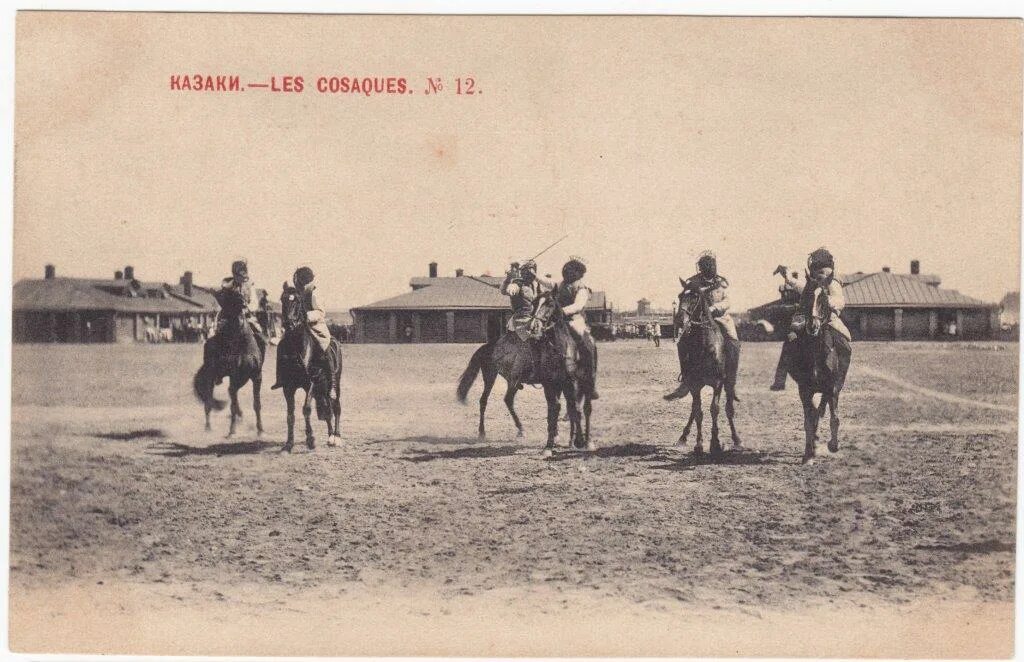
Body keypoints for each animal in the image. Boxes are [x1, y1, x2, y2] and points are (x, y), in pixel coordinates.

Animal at [191, 286, 264, 438]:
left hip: (241, 380)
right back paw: (208, 427)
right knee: (209, 402)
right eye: (222, 296)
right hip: (211, 377)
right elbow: (232, 405)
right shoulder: (234, 377)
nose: (220, 323)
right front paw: (231, 431)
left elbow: (256, 404)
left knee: (230, 396)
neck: (244, 346)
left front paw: (260, 429)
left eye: (235, 296)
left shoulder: (256, 377)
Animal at [272, 282, 344, 452]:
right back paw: (330, 436)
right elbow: (290, 415)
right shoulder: (288, 387)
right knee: (327, 408)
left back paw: (336, 437)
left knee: (336, 406)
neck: (297, 347)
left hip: (333, 383)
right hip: (321, 388)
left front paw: (311, 440)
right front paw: (288, 444)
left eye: (297, 301)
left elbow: (306, 409)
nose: (288, 324)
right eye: (283, 299)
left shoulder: (310, 383)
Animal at [458, 293, 598, 459]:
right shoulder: (552, 384)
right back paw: (482, 433)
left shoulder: (567, 383)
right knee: (484, 400)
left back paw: (522, 429)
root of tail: (486, 346)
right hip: (490, 376)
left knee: (508, 400)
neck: (562, 349)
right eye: (537, 303)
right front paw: (558, 442)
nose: (534, 325)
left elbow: (570, 408)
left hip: (513, 382)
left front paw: (573, 440)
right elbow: (559, 408)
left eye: (550, 304)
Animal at [659, 284, 741, 461]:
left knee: (729, 408)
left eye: (695, 297)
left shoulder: (717, 383)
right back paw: (683, 437)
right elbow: (698, 411)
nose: (679, 320)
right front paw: (698, 445)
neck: (704, 346)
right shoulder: (694, 384)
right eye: (680, 296)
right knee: (694, 409)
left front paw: (715, 444)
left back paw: (737, 439)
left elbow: (715, 409)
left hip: (729, 382)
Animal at [786, 284, 851, 467]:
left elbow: (834, 417)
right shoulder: (804, 390)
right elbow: (809, 419)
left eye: (824, 298)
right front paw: (809, 454)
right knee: (814, 413)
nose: (812, 326)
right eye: (807, 296)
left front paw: (833, 445)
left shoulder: (833, 387)